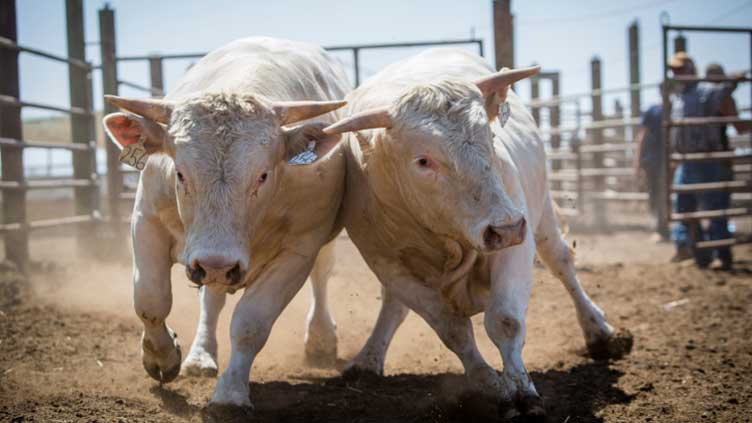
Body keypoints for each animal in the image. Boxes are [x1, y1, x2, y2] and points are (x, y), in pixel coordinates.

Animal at [101, 37, 350, 413]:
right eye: (180, 173)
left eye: (262, 175)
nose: (216, 263)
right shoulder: (147, 220)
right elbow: (151, 299)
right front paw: (161, 358)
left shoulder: (298, 250)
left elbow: (251, 324)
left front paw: (231, 392)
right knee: (211, 299)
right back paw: (200, 356)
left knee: (321, 277)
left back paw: (321, 340)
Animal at [322, 48, 632, 418]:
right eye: (423, 161)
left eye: (491, 138)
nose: (506, 227)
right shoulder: (387, 263)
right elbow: (453, 330)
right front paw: (493, 386)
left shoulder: (514, 242)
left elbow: (505, 321)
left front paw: (522, 393)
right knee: (395, 305)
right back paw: (369, 357)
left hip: (541, 214)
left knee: (561, 263)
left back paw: (598, 331)